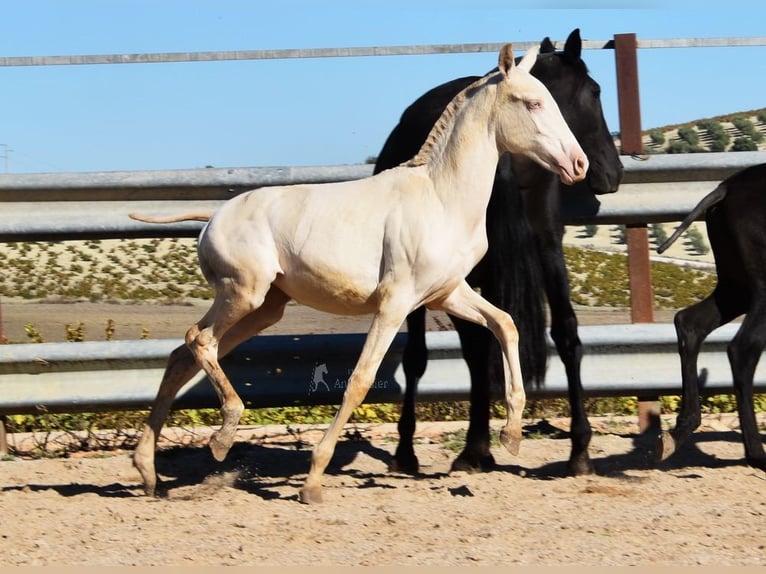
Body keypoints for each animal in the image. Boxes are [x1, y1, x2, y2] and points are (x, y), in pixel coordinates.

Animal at [132, 44, 588, 504]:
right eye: (533, 103)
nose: (579, 164)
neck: (441, 198)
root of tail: (213, 216)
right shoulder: (395, 304)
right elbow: (360, 379)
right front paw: (313, 482)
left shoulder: (448, 293)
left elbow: (506, 325)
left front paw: (511, 435)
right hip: (243, 294)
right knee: (199, 340)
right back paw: (222, 438)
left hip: (264, 308)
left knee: (182, 355)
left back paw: (149, 473)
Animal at [376, 28, 628, 476]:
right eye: (596, 91)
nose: (611, 172)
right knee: (558, 333)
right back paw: (572, 451)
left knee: (477, 345)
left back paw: (472, 447)